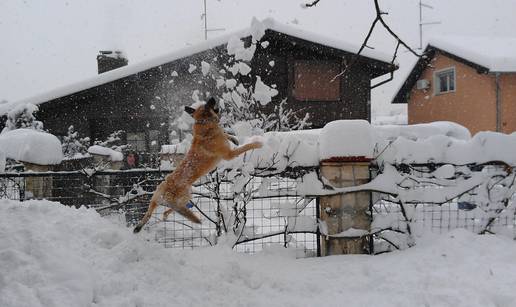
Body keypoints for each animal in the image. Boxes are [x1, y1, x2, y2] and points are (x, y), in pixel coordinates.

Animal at [134, 98, 262, 233]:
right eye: (208, 104)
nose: (212, 98)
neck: (204, 124)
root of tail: (162, 191)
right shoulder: (229, 154)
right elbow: (245, 147)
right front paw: (257, 143)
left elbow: (226, 134)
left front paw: (234, 139)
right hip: (184, 198)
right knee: (173, 210)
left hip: (180, 200)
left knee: (167, 211)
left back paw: (164, 217)